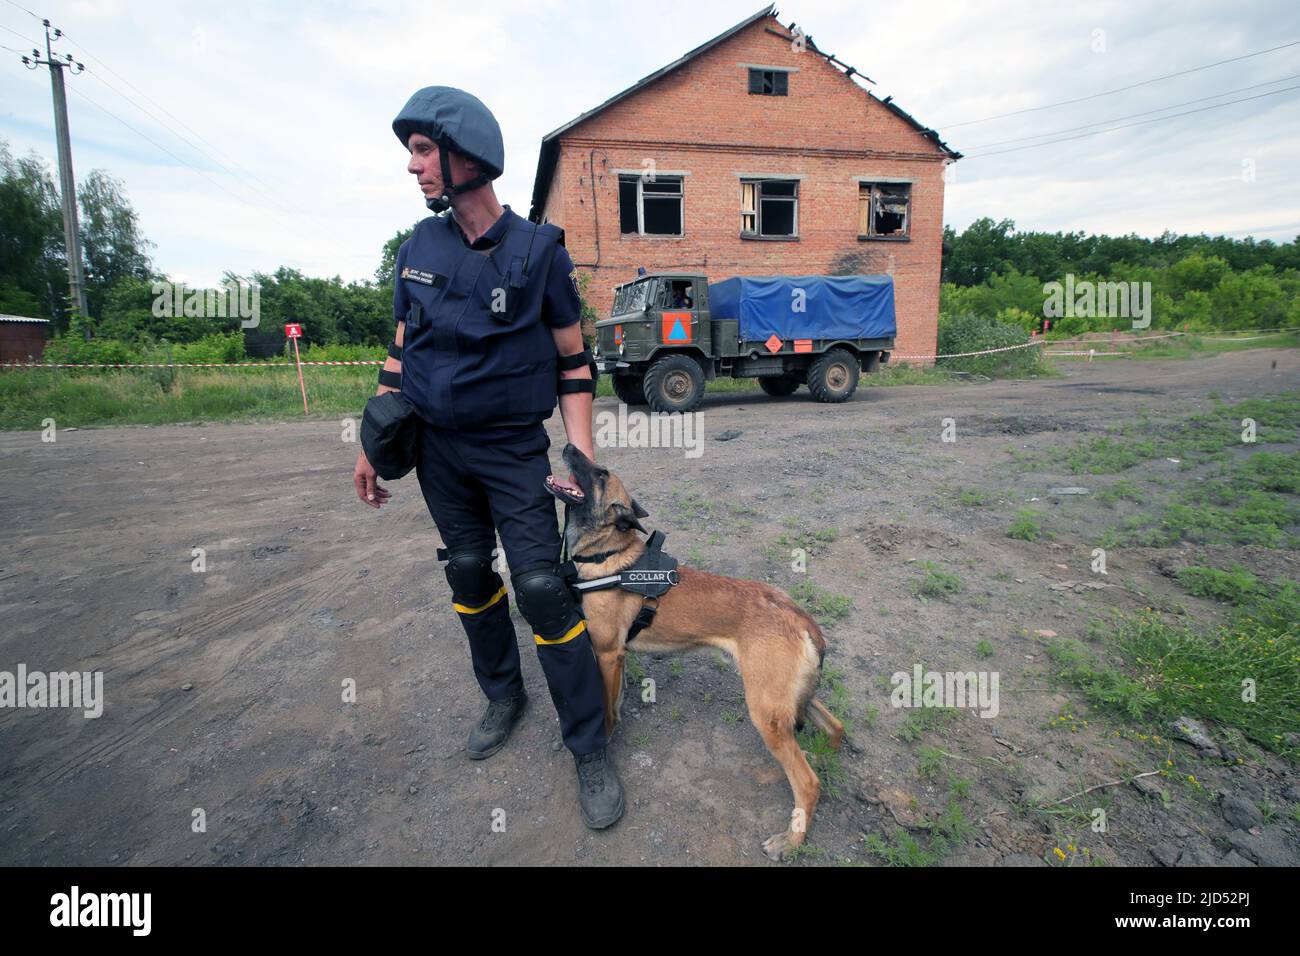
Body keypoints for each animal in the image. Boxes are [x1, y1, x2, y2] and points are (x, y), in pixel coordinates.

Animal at [556, 444, 842, 863]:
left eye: (601, 474)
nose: (568, 446)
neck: (607, 554)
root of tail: (799, 615)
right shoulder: (618, 657)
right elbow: (618, 698)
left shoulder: (606, 653)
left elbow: (606, 710)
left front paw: (603, 743)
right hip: (786, 699)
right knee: (834, 728)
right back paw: (824, 755)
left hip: (765, 713)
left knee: (808, 782)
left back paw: (790, 840)